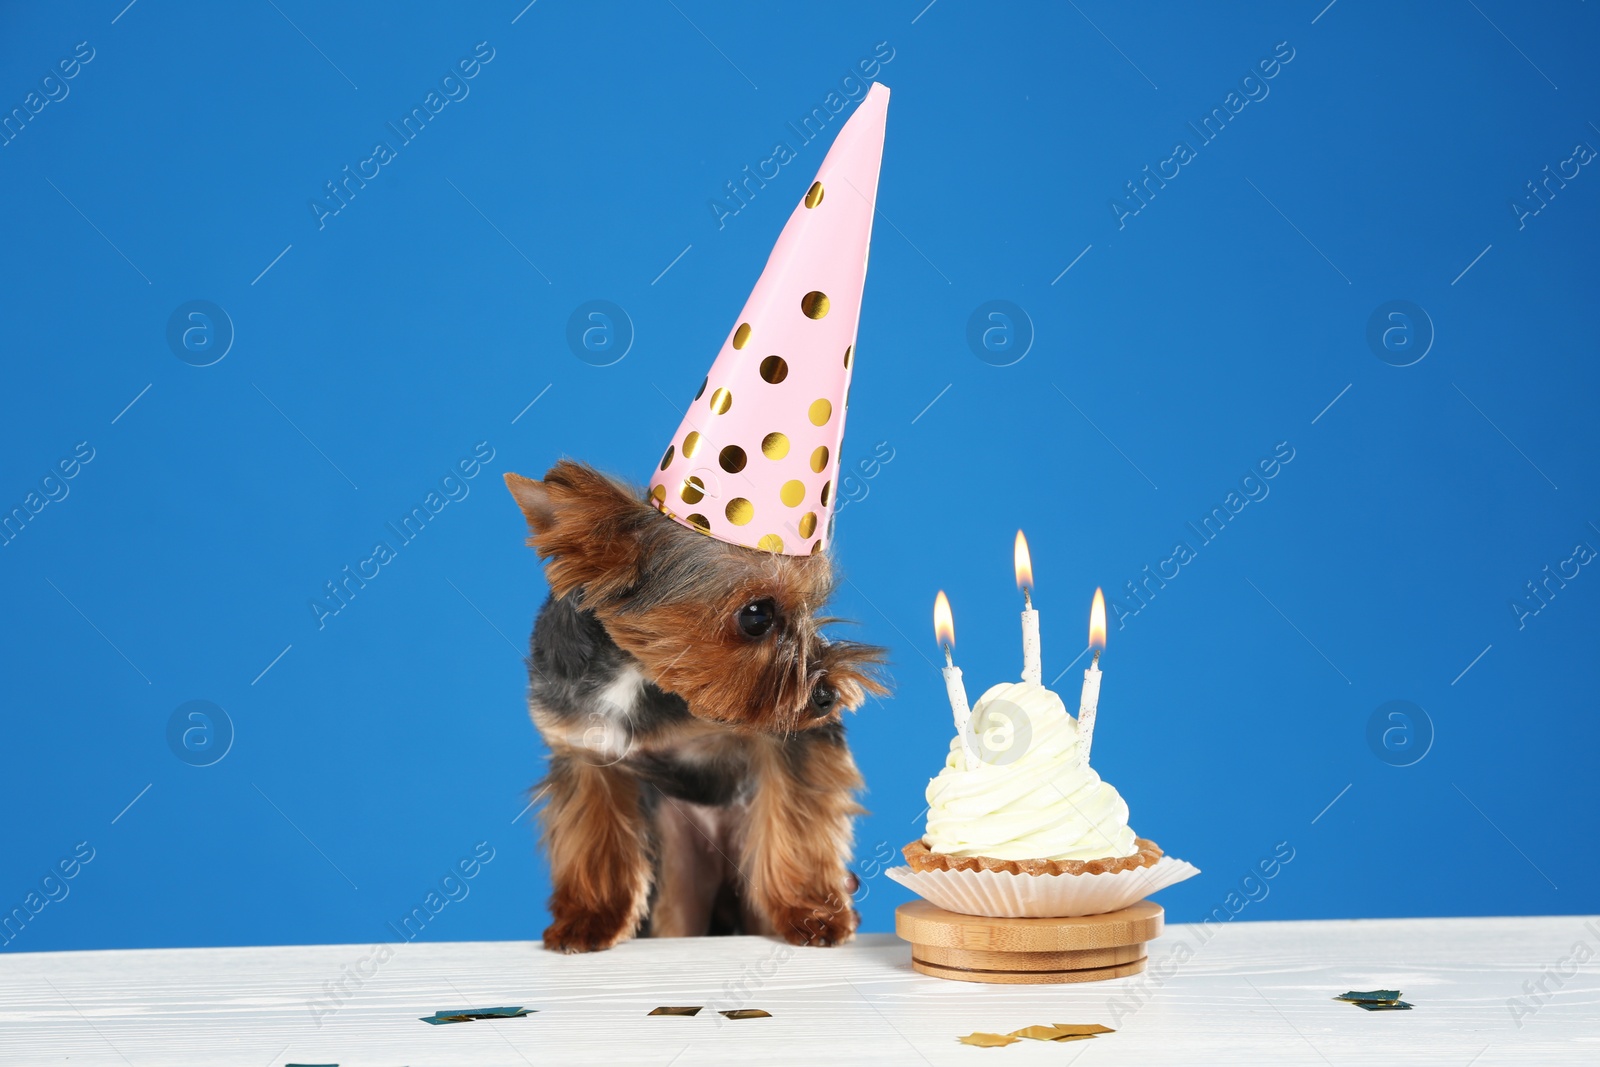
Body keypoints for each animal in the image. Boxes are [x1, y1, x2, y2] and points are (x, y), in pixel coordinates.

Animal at [502, 463, 889, 953]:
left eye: (813, 605)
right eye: (757, 614)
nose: (827, 696)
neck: (639, 674)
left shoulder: (787, 736)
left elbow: (798, 822)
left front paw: (813, 913)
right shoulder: (583, 749)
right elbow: (594, 838)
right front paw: (589, 920)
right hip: (679, 866)